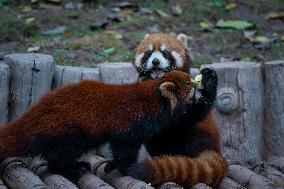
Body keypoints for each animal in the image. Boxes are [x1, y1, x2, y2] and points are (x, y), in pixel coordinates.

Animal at [0, 70, 196, 182]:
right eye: (193, 88)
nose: (198, 82)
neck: (155, 100)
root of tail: (32, 114)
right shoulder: (130, 125)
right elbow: (124, 149)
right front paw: (129, 168)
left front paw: (113, 165)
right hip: (66, 131)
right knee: (59, 157)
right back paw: (72, 170)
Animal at [130, 33, 227, 188]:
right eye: (149, 53)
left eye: (165, 53)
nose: (155, 61)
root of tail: (214, 149)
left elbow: (193, 115)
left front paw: (208, 83)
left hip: (199, 134)